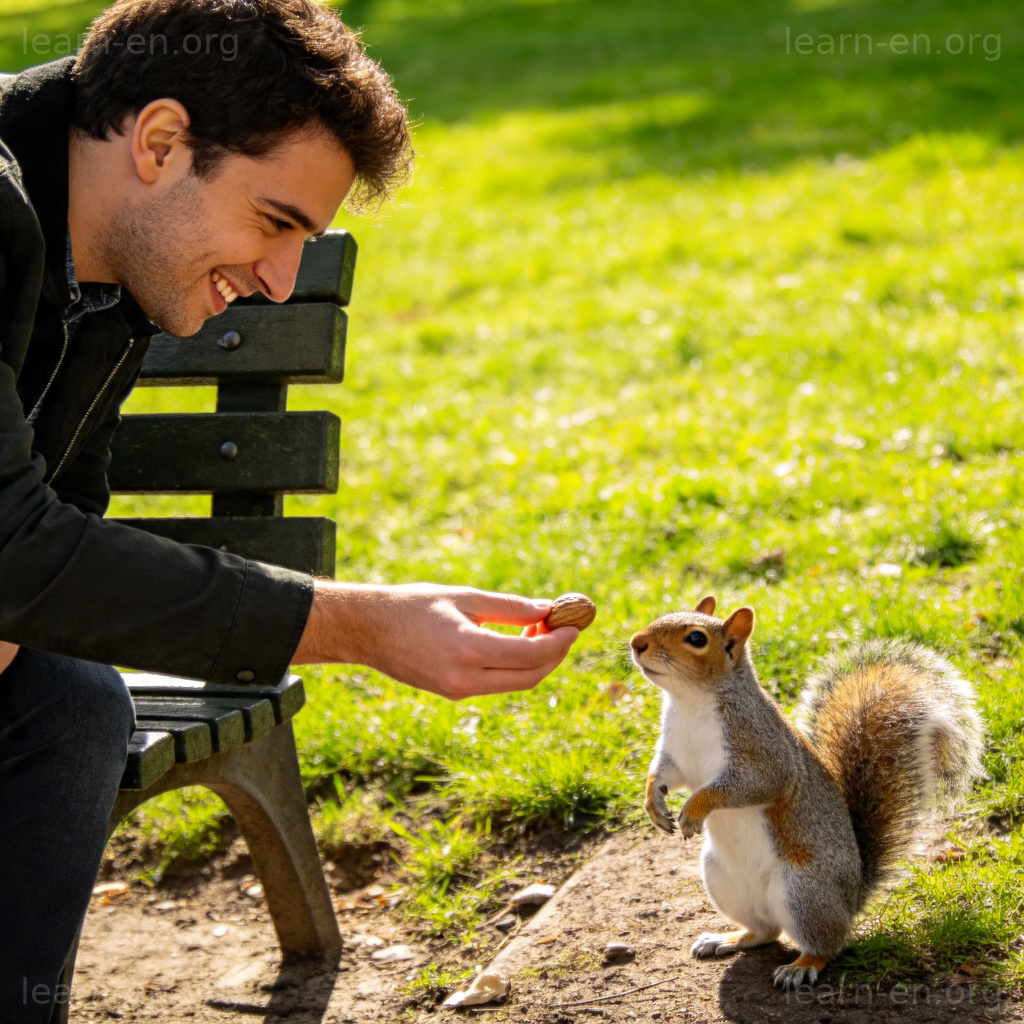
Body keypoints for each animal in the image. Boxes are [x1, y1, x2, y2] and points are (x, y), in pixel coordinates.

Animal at [630, 594, 983, 990]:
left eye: (695, 638)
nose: (636, 642)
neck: (690, 702)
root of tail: (853, 898)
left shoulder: (765, 754)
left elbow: (750, 785)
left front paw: (694, 809)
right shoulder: (676, 753)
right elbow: (662, 773)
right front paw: (653, 803)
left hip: (804, 891)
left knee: (828, 943)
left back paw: (801, 966)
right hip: (723, 879)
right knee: (765, 931)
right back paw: (727, 939)